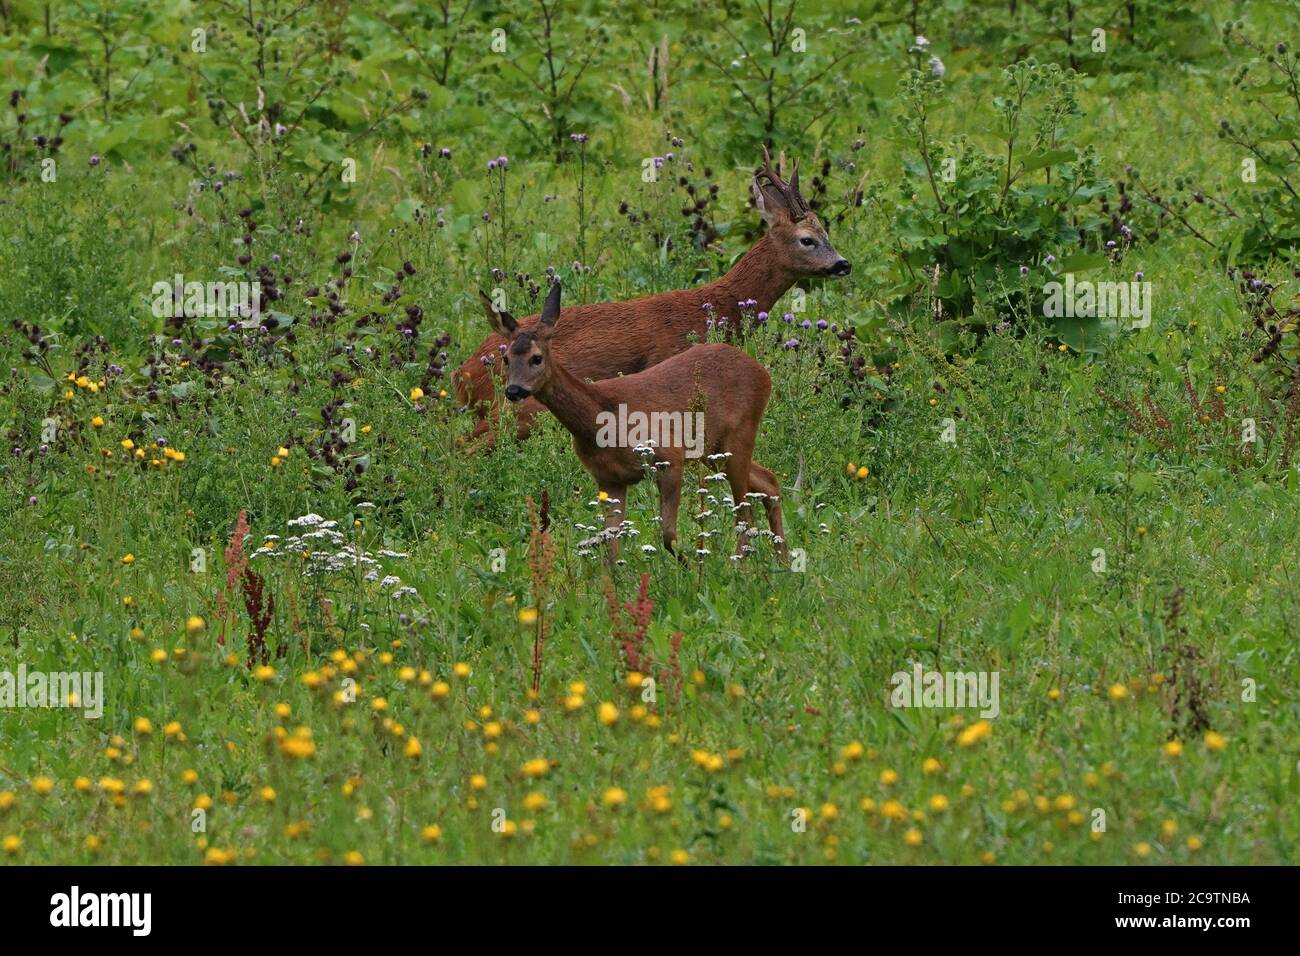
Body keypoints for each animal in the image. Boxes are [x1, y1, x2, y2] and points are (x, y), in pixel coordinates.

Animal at [452, 146, 847, 452]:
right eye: (807, 239)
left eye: (827, 232)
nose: (844, 263)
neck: (717, 305)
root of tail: (461, 375)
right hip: (518, 409)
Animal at [486, 280, 785, 561]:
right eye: (506, 358)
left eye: (536, 358)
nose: (513, 391)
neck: (601, 422)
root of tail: (763, 373)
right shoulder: (609, 480)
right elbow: (610, 546)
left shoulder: (669, 457)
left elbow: (668, 536)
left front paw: (690, 565)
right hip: (713, 450)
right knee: (768, 482)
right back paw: (781, 559)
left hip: (739, 433)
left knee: (744, 512)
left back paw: (742, 566)